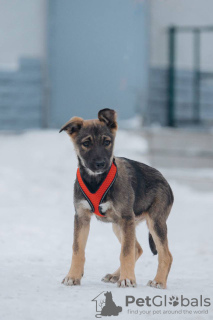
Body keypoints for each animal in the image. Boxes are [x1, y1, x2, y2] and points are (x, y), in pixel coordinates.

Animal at [59, 109, 174, 288]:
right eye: (86, 143)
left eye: (107, 142)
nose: (100, 164)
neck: (95, 181)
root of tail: (165, 181)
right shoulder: (81, 217)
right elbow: (77, 249)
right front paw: (73, 276)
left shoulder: (126, 218)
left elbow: (125, 253)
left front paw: (127, 279)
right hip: (119, 225)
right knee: (137, 249)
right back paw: (115, 275)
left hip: (154, 222)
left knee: (165, 254)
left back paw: (159, 281)